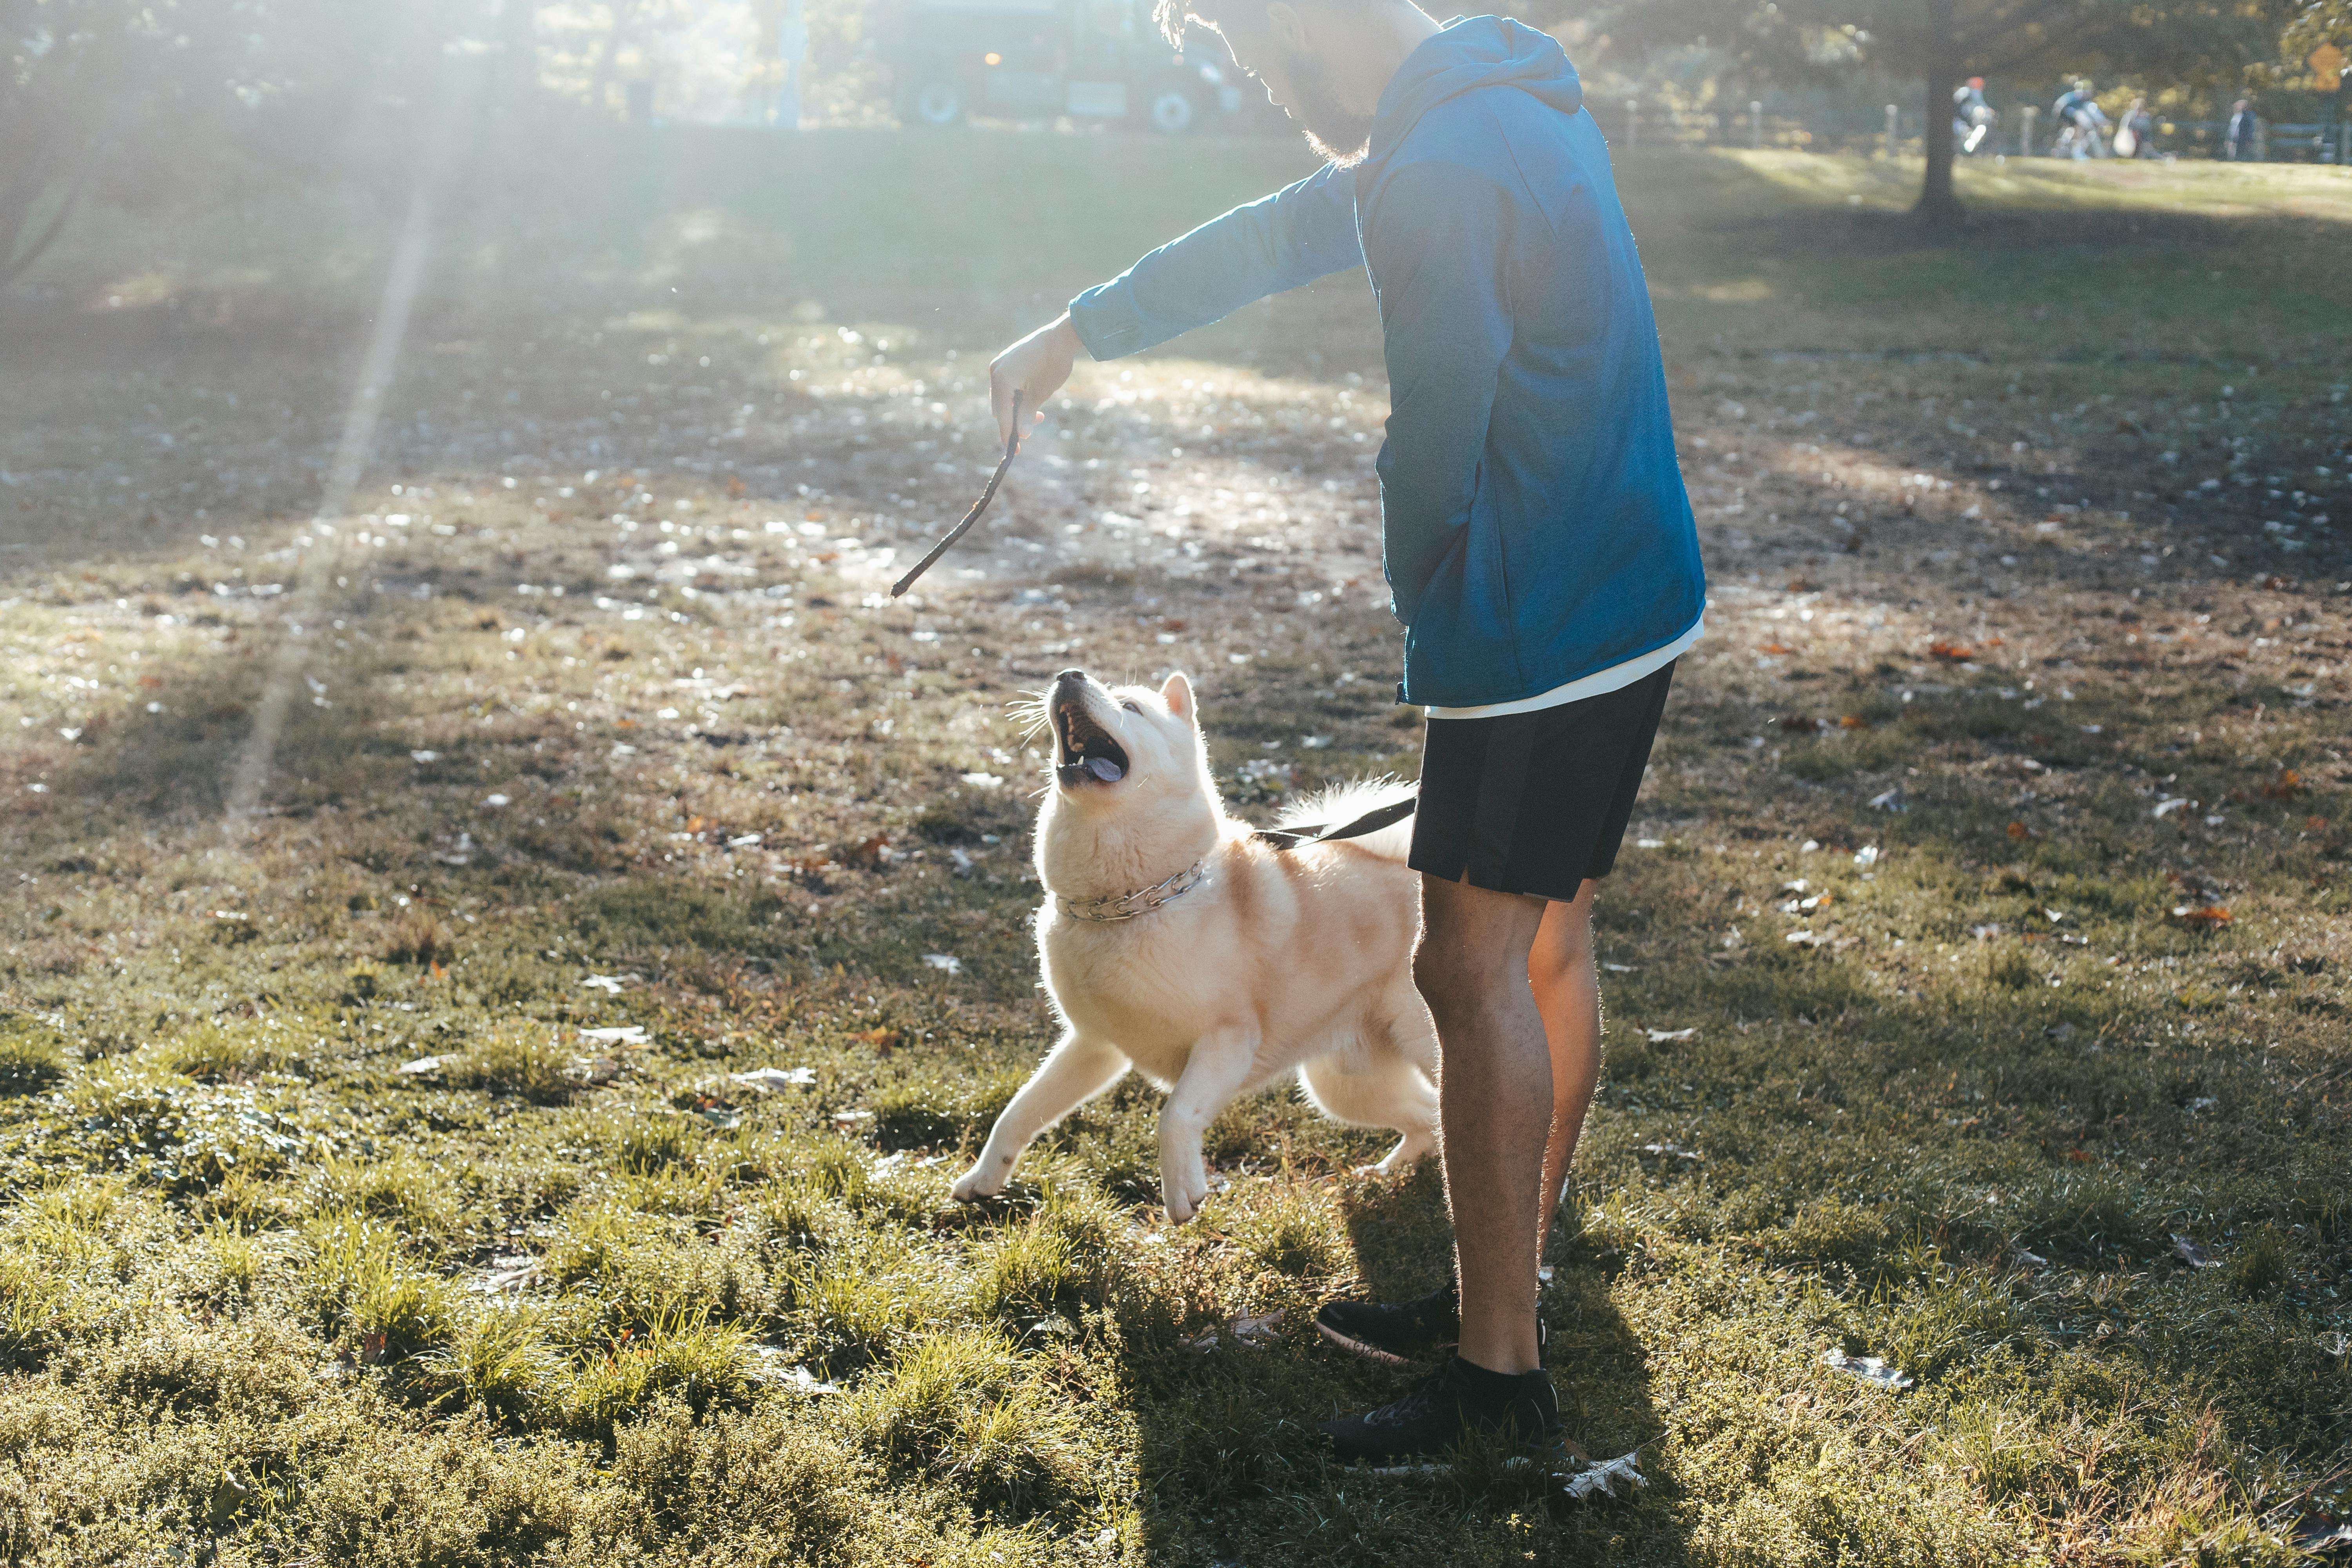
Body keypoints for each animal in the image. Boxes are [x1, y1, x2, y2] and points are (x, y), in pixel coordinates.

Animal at [950, 668, 1430, 1222]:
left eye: (1131, 707)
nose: (1069, 676)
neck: (1129, 904)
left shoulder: (1228, 1039)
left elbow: (1176, 1112)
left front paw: (1183, 1189)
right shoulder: (1093, 1045)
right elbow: (1019, 1110)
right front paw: (985, 1178)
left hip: (1419, 1047)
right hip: (1345, 1086)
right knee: (1429, 1118)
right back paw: (1392, 1173)